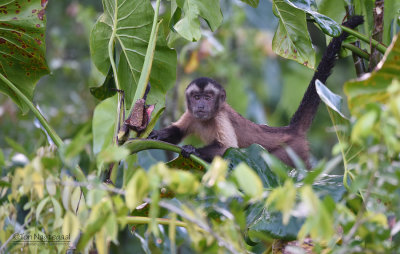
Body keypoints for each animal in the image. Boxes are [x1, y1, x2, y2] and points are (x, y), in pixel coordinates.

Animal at [148, 15, 364, 167]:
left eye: (208, 98)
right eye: (196, 97)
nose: (201, 105)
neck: (206, 120)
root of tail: (290, 130)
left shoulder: (221, 118)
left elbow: (228, 149)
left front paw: (193, 149)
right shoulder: (191, 114)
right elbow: (177, 131)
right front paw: (156, 135)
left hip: (292, 152)